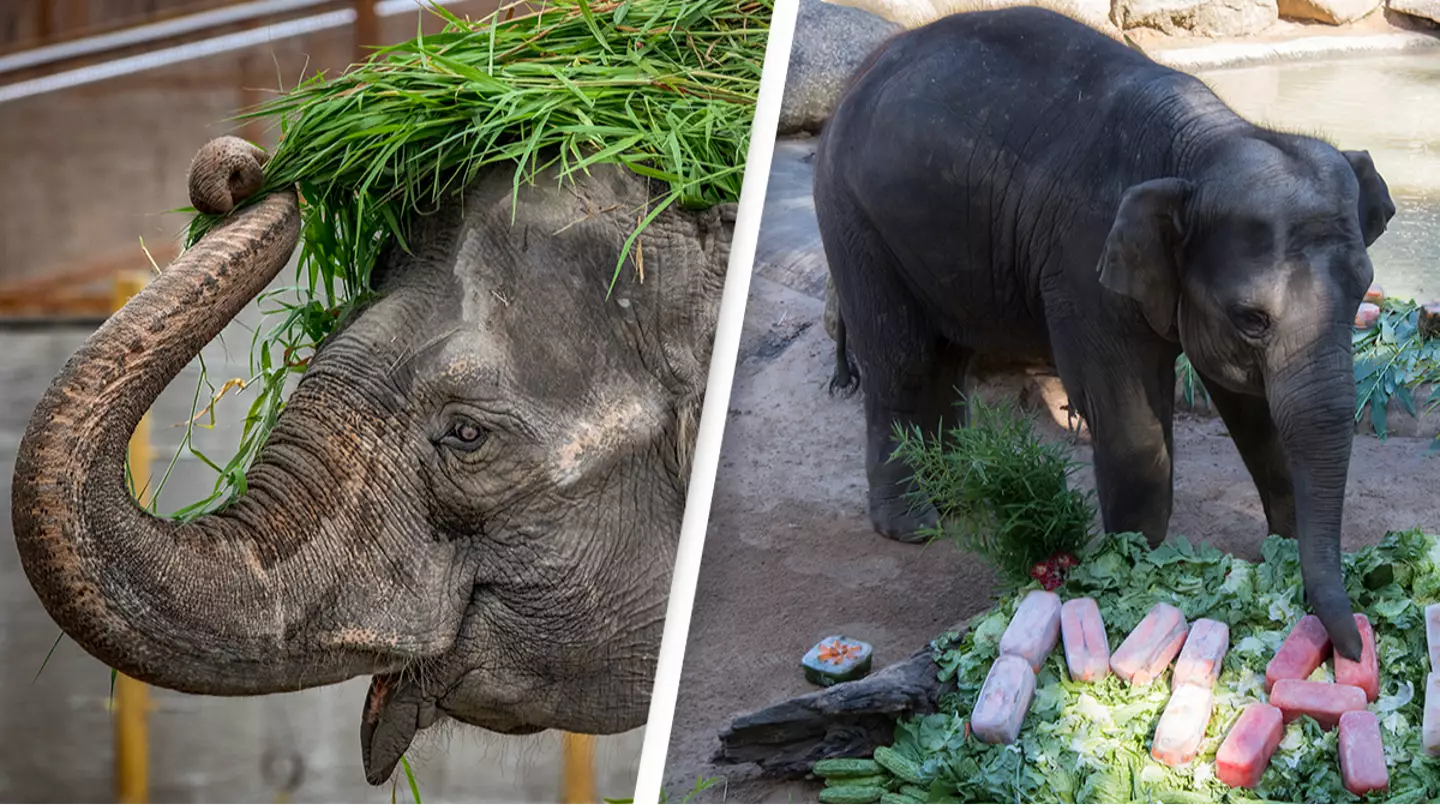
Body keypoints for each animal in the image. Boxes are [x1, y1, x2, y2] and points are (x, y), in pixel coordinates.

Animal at [817, 4, 1388, 657]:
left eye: (1362, 290)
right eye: (1253, 318)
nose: (1353, 650)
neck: (1206, 146)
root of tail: (859, 75)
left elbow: (1251, 409)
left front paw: (1282, 551)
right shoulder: (1083, 261)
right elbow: (1126, 414)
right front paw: (1136, 570)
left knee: (947, 358)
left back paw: (959, 498)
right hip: (852, 216)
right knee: (902, 361)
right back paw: (913, 526)